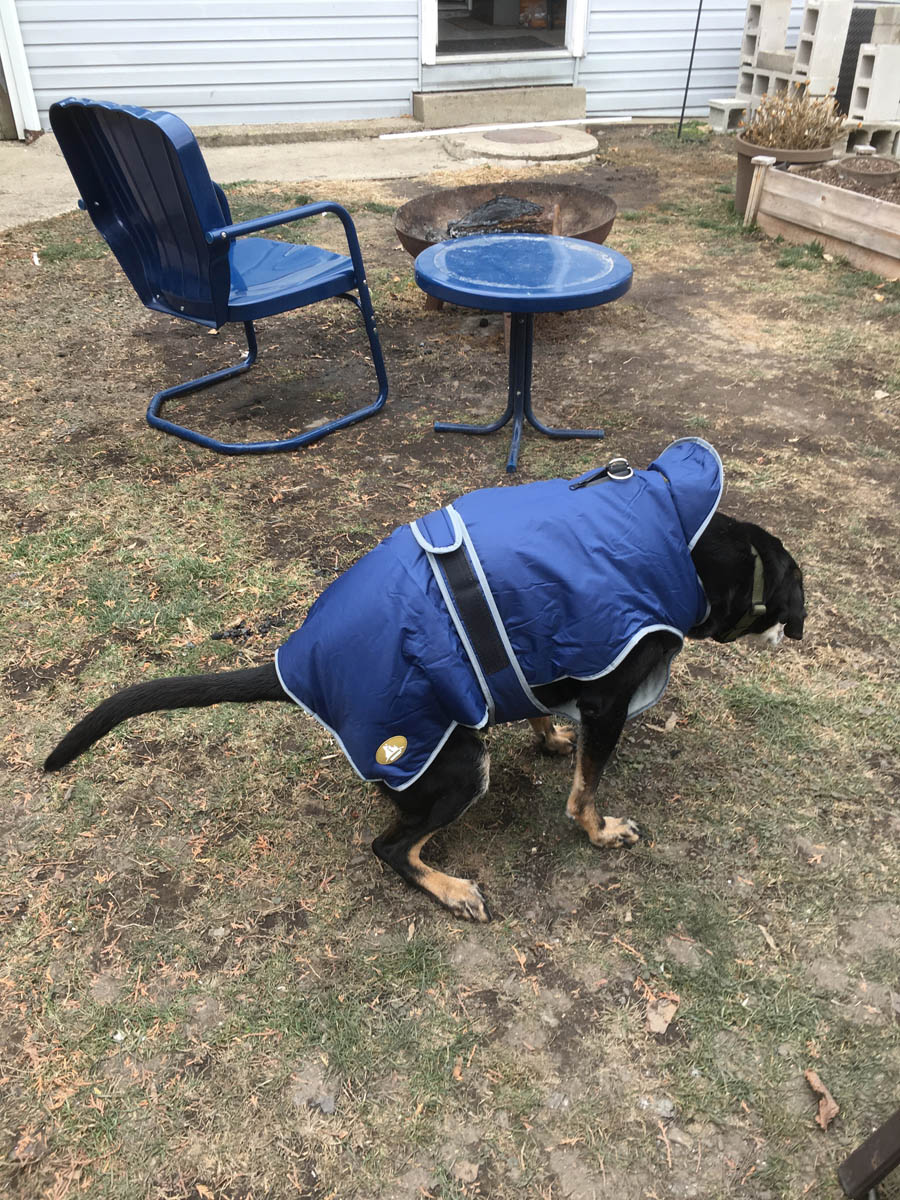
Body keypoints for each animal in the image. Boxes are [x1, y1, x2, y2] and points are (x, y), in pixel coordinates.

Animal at [44, 492, 801, 921]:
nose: (798, 630)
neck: (685, 546)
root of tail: (300, 672)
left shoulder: (532, 655)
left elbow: (529, 697)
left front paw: (549, 737)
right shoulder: (608, 696)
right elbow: (586, 792)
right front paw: (599, 831)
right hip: (459, 767)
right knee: (389, 847)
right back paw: (450, 888)